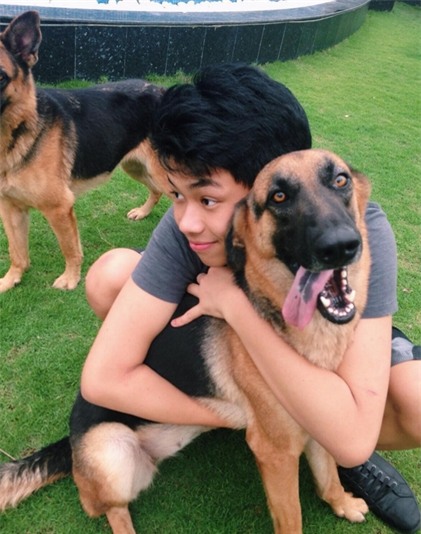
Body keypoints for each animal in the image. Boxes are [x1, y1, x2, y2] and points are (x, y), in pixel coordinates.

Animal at [0, 11, 165, 293]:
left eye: (0, 78)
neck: (20, 130)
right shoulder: (10, 208)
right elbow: (17, 252)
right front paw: (11, 279)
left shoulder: (59, 208)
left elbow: (70, 249)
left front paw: (71, 278)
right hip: (136, 168)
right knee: (156, 191)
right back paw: (143, 212)